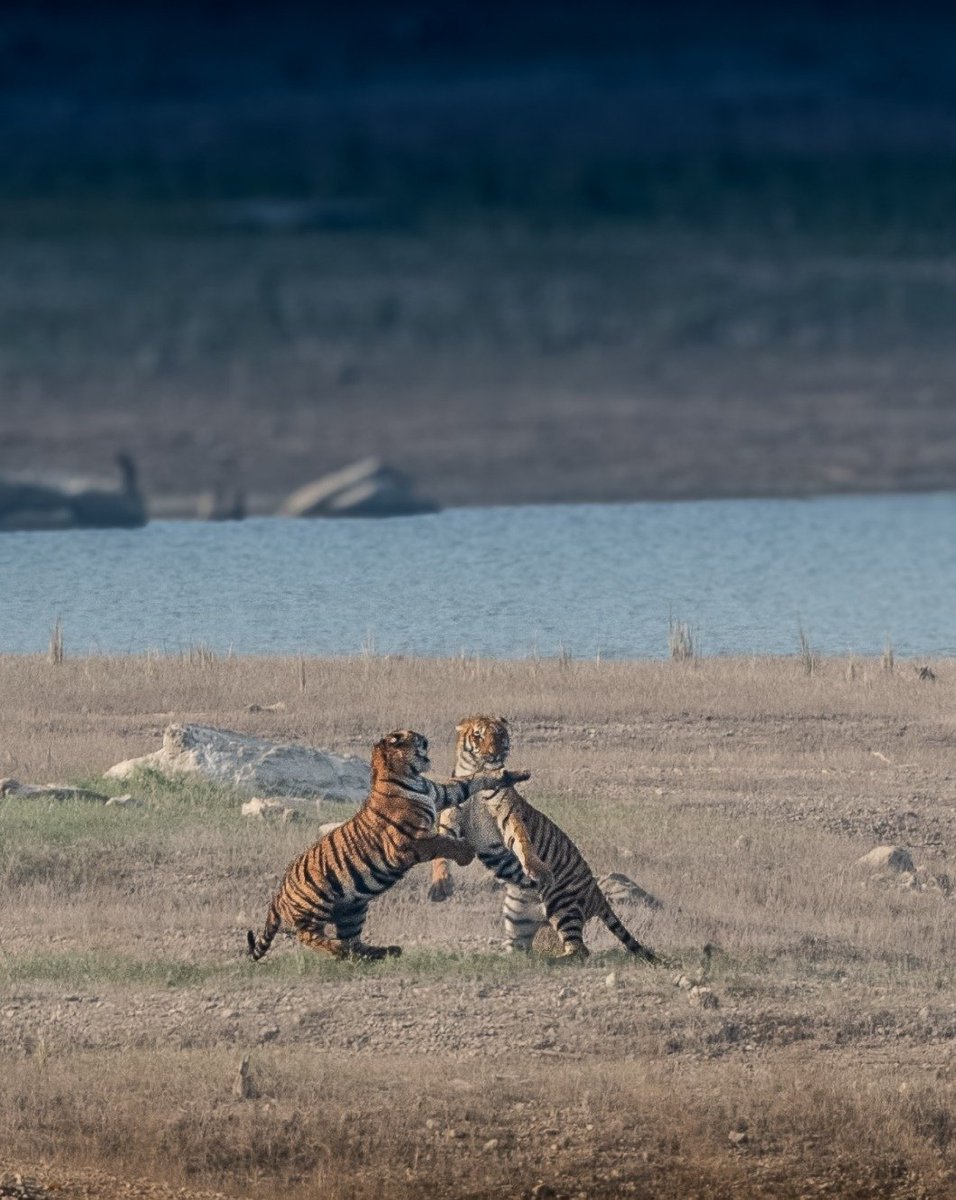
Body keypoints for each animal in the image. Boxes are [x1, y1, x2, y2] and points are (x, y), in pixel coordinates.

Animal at [245, 724, 530, 960]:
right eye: (415, 737)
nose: (426, 738)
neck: (408, 775)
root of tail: (279, 892)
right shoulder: (408, 842)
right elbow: (443, 842)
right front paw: (466, 853)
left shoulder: (442, 793)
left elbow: (472, 781)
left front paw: (517, 773)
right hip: (316, 905)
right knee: (310, 936)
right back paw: (340, 949)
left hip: (352, 910)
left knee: (353, 942)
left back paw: (381, 951)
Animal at [427, 715, 657, 960]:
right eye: (478, 735)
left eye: (499, 734)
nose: (494, 753)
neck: (479, 775)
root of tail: (597, 892)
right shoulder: (449, 823)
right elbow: (440, 855)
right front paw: (440, 885)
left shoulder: (509, 816)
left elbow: (522, 842)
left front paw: (537, 869)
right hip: (517, 916)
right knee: (523, 948)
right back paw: (511, 960)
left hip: (562, 903)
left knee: (580, 950)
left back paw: (552, 960)